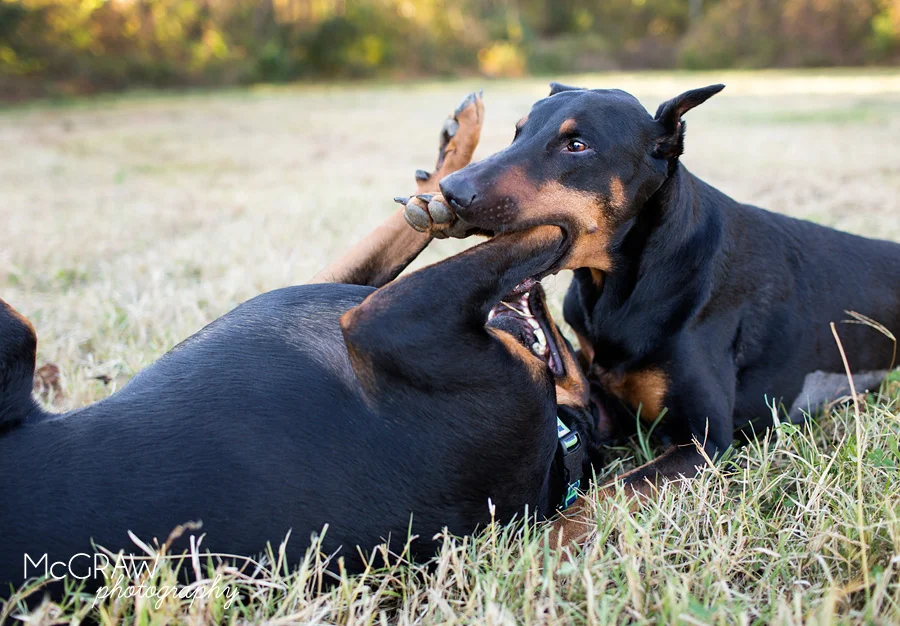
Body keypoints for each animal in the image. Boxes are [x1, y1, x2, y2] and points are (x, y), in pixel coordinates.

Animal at [0, 93, 604, 598]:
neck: (561, 438)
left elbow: (547, 228)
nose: (539, 291)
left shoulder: (389, 320)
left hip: (16, 336)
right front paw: (447, 177)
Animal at [405, 83, 900, 542]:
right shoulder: (599, 394)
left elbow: (606, 495)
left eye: (577, 145)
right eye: (518, 131)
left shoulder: (705, 442)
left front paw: (541, 549)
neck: (621, 288)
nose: (452, 192)